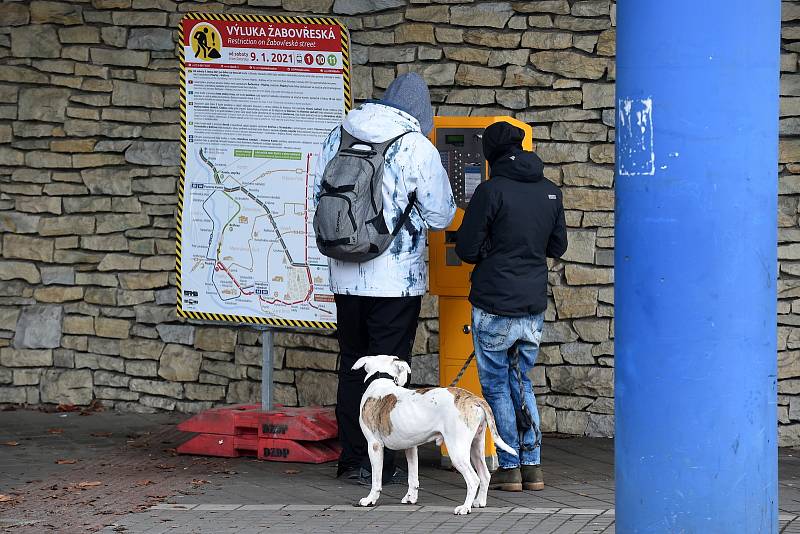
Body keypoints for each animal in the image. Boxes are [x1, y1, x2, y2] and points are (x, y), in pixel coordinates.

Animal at [352, 356, 516, 516]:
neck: (381, 380)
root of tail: (474, 398)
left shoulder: (374, 446)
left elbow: (376, 479)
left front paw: (370, 499)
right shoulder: (411, 447)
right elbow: (413, 477)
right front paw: (411, 497)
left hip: (457, 451)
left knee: (473, 479)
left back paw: (465, 508)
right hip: (476, 446)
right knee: (484, 474)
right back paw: (479, 502)